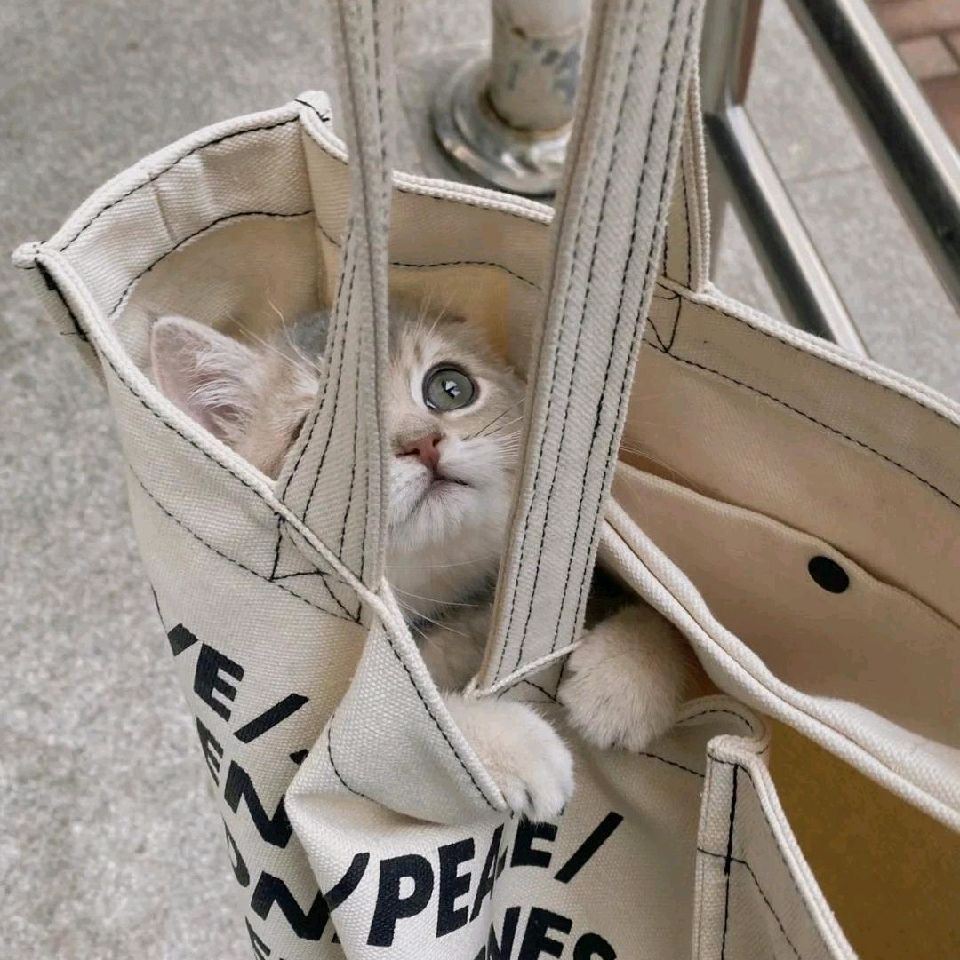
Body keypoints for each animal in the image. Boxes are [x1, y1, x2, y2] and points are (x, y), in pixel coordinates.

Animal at [149, 308, 690, 819]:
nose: (424, 442)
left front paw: (621, 684)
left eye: (450, 388)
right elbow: (400, 736)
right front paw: (518, 747)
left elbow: (671, 614)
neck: (450, 603)